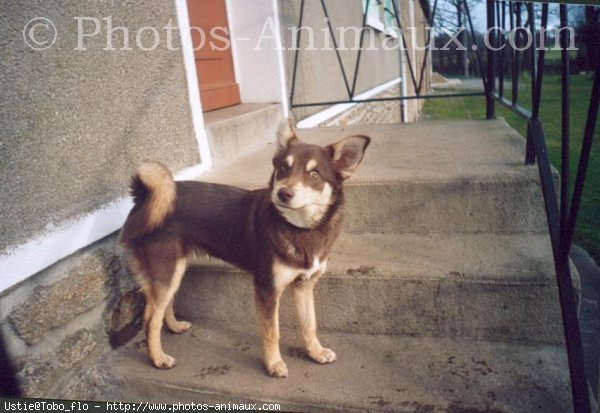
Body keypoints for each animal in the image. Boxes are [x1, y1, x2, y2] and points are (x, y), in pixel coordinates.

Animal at [119, 119, 368, 376]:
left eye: (315, 174)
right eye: (283, 168)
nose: (283, 193)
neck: (299, 228)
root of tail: (143, 197)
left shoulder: (304, 285)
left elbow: (310, 325)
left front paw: (316, 352)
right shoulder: (267, 289)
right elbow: (272, 332)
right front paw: (274, 364)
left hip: (174, 271)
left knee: (163, 307)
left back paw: (174, 327)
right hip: (165, 271)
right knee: (151, 318)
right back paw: (158, 358)